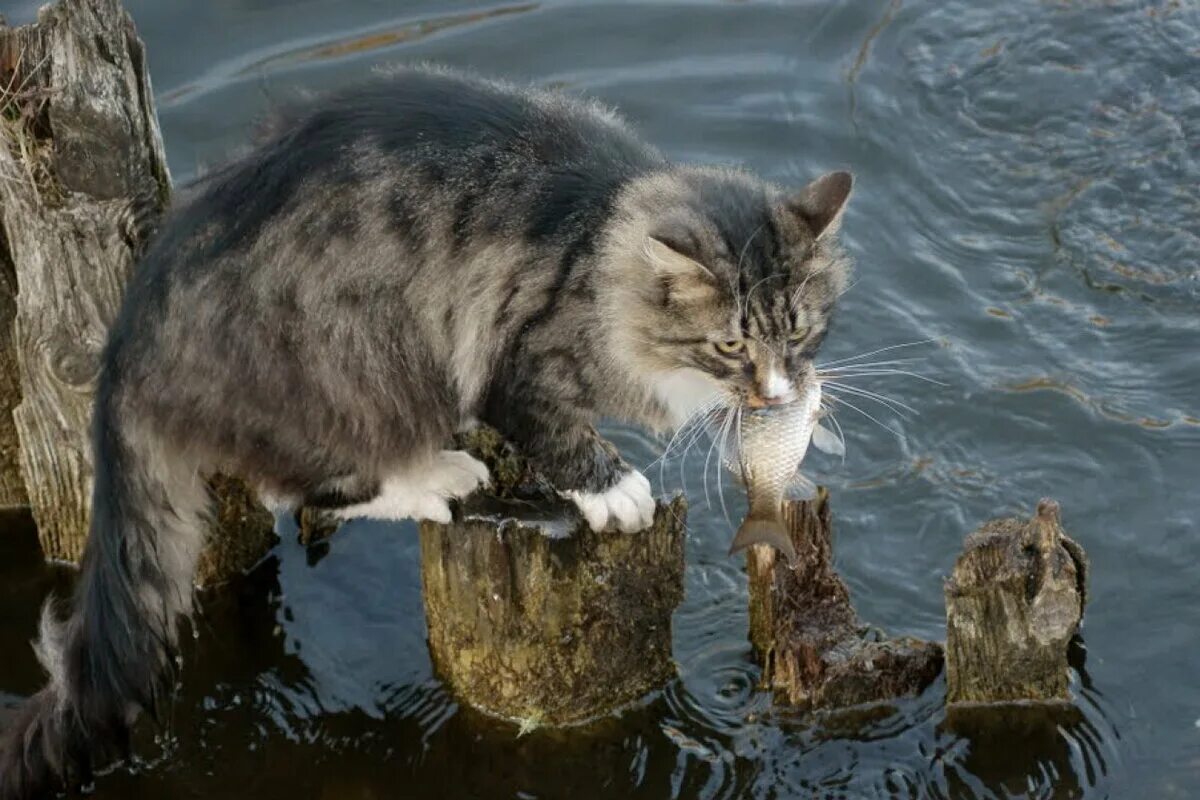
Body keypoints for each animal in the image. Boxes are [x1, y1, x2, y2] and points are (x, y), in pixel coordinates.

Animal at [0, 65, 854, 796]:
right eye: (732, 345)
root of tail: (129, 336)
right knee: (304, 493)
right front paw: (615, 491)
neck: (600, 237)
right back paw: (438, 477)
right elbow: (561, 434)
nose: (780, 391)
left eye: (799, 330)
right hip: (352, 370)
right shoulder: (517, 361)